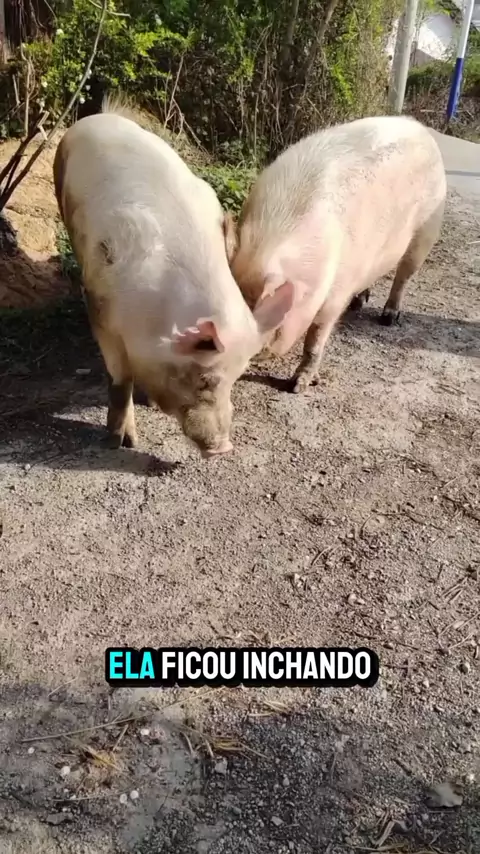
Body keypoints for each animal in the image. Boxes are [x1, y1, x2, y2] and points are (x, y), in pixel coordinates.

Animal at [53, 96, 294, 457]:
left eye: (237, 377)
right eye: (205, 379)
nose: (223, 448)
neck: (154, 319)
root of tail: (100, 117)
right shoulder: (99, 306)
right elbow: (120, 379)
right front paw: (121, 442)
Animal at [229, 115, 447, 393]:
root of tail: (421, 129)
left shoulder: (335, 293)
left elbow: (315, 340)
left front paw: (297, 387)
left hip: (426, 231)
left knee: (404, 276)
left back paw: (388, 318)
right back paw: (358, 302)